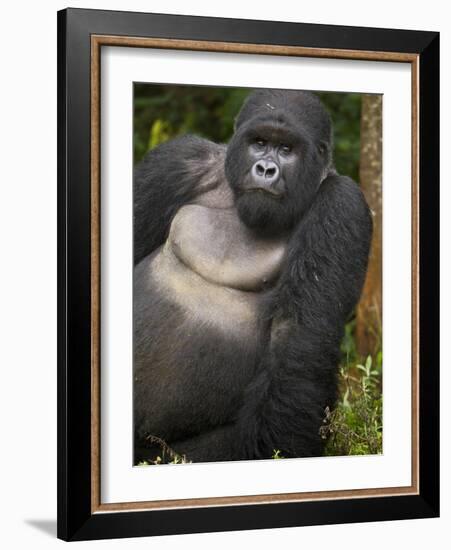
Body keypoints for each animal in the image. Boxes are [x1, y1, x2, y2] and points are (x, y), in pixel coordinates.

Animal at [132, 89, 372, 466]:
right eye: (259, 143)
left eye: (286, 149)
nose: (265, 169)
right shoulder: (178, 161)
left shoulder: (341, 205)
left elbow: (296, 347)